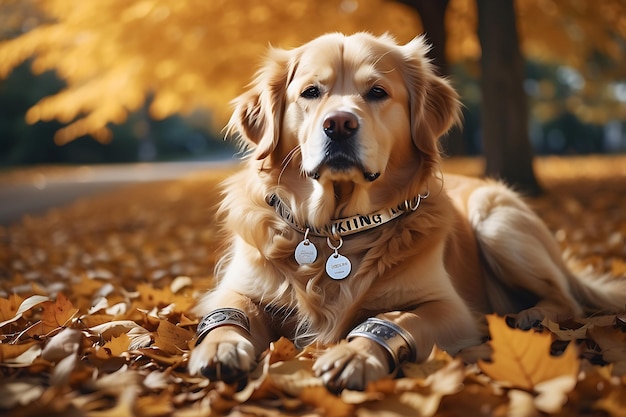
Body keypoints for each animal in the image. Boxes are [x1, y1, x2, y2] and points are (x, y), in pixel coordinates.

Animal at [188, 31, 624, 390]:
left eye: (378, 92)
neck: (336, 229)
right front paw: (221, 346)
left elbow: (398, 318)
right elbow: (232, 312)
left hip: (497, 222)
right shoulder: (236, 287)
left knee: (566, 298)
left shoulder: (450, 308)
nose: (339, 124)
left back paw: (533, 315)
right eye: (311, 92)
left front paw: (353, 354)